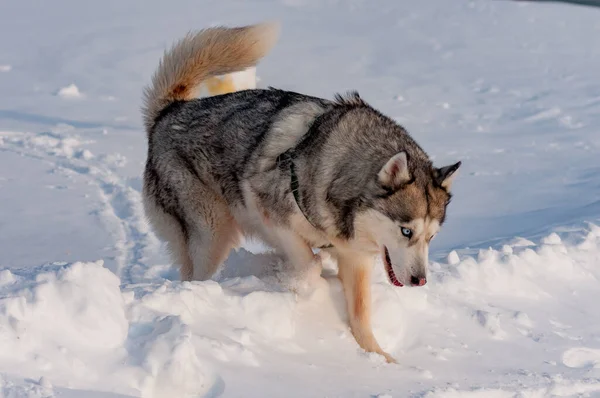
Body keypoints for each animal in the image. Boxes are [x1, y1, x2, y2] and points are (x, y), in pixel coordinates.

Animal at [141, 22, 460, 364]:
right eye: (406, 231)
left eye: (431, 237)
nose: (420, 281)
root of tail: (169, 112)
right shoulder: (272, 216)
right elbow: (310, 265)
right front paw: (295, 279)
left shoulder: (355, 256)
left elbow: (361, 315)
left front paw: (379, 358)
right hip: (211, 234)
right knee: (195, 274)